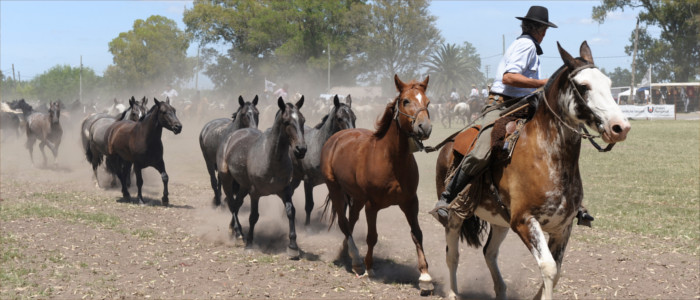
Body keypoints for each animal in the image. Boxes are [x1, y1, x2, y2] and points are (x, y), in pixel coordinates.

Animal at [216, 96, 306, 258]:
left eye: (303, 120)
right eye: (286, 122)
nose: (301, 149)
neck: (271, 158)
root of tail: (231, 136)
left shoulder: (285, 190)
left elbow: (291, 212)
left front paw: (293, 246)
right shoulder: (255, 193)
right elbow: (253, 216)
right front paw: (250, 244)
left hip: (243, 186)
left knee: (237, 204)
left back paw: (234, 230)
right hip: (227, 179)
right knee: (232, 204)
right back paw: (239, 234)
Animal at [290, 95, 356, 226]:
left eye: (354, 118)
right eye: (339, 118)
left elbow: (343, 205)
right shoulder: (308, 181)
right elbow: (309, 205)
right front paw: (307, 226)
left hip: (296, 178)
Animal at [322, 74, 432, 296]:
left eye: (428, 102)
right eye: (405, 101)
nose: (424, 127)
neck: (392, 160)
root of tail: (336, 138)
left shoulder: (410, 202)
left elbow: (417, 234)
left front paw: (425, 276)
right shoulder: (372, 205)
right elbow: (372, 236)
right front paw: (369, 268)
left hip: (357, 197)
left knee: (351, 221)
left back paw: (346, 252)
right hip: (335, 189)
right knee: (344, 223)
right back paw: (356, 260)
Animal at [440, 41, 632, 300]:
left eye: (609, 83)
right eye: (583, 86)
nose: (620, 127)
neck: (547, 157)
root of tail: (449, 144)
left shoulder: (562, 227)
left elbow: (557, 271)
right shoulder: (524, 221)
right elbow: (549, 268)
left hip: (499, 221)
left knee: (489, 253)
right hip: (455, 216)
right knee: (452, 255)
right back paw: (452, 292)